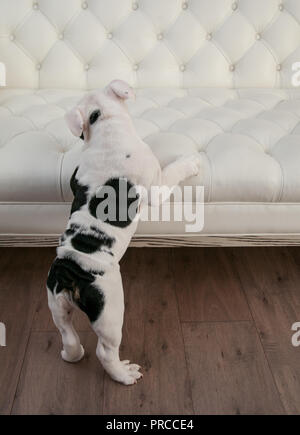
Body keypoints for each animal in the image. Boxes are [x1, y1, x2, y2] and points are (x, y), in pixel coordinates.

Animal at [47, 80, 202, 386]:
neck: (102, 121)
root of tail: (69, 274)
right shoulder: (157, 185)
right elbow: (172, 172)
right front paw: (189, 162)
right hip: (110, 311)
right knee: (105, 351)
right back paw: (123, 374)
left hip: (56, 304)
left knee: (67, 334)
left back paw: (71, 354)